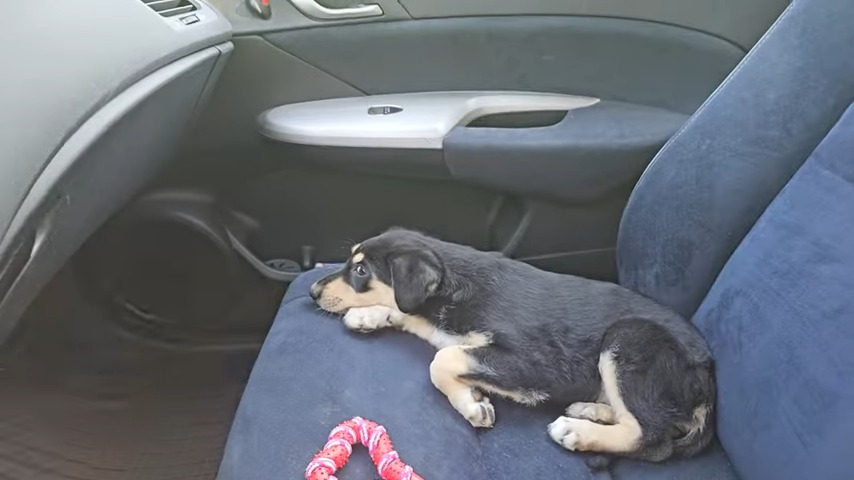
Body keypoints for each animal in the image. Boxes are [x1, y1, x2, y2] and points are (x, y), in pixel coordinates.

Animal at [310, 228, 720, 462]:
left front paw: (471, 404)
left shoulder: (538, 366)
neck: (454, 287)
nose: (312, 290)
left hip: (630, 340)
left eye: (360, 271)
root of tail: (709, 375)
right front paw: (367, 315)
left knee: (652, 438)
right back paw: (590, 411)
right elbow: (414, 322)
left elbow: (442, 359)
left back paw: (579, 431)